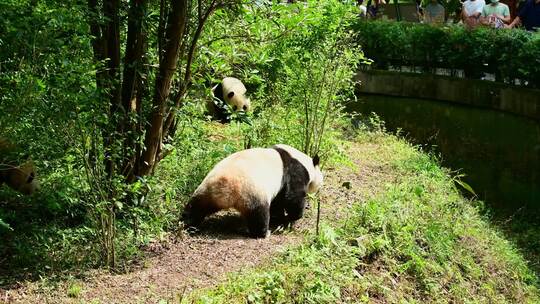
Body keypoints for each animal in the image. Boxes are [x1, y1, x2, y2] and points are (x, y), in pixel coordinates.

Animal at [184, 144, 322, 239]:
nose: (318, 189)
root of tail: (225, 189)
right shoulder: (294, 171)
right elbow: (292, 197)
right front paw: (293, 217)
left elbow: (278, 201)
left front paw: (280, 217)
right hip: (252, 192)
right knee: (259, 213)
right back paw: (264, 232)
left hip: (206, 191)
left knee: (195, 207)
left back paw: (187, 225)